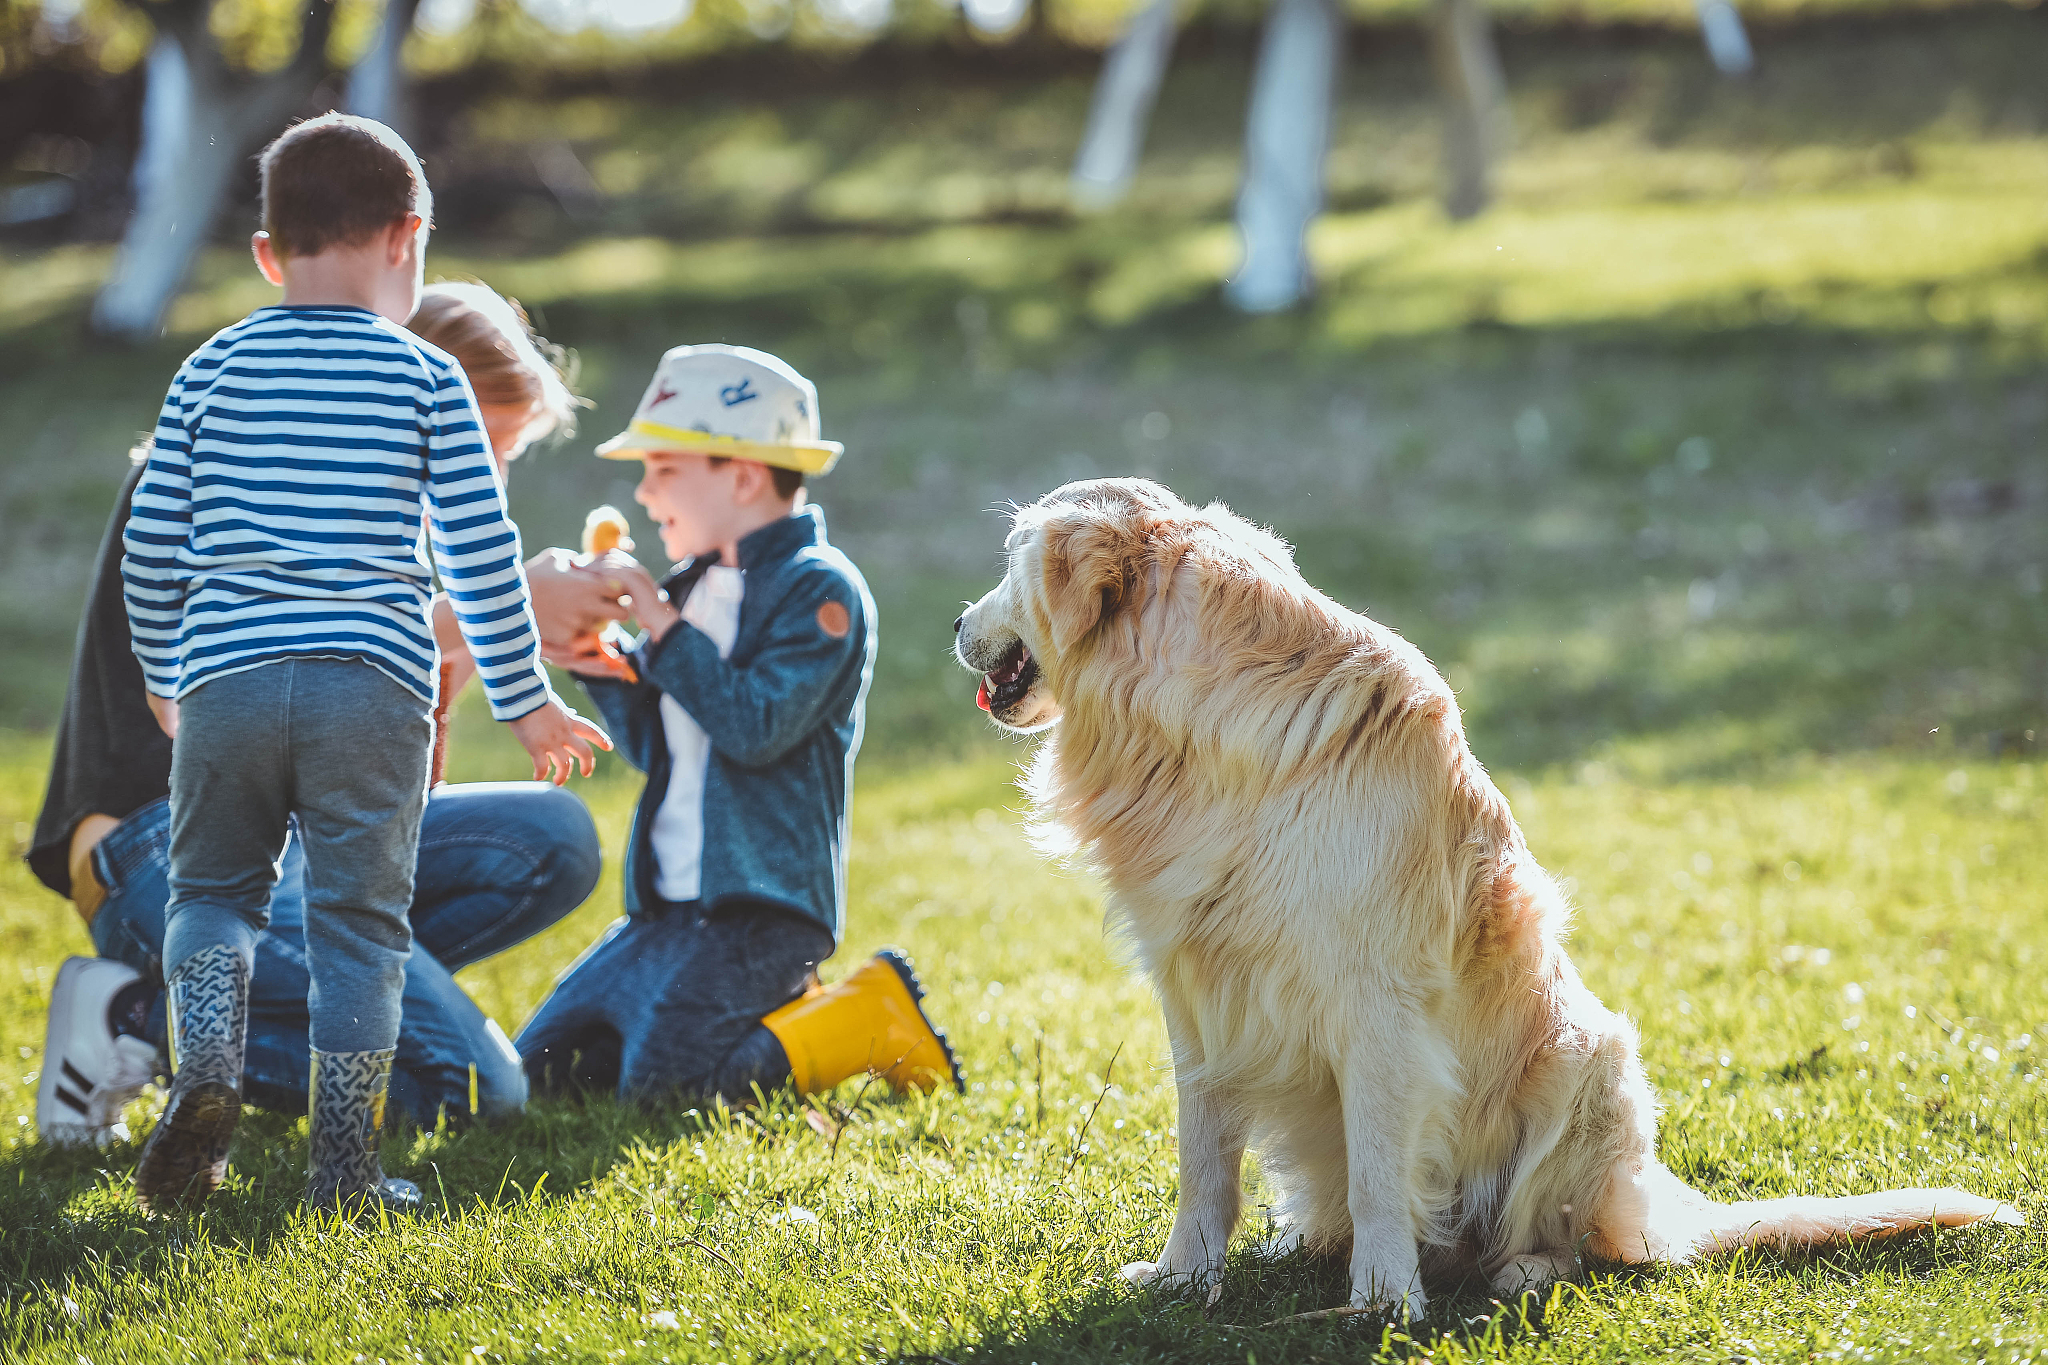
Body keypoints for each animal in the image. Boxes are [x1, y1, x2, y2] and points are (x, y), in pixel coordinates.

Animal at [950, 478, 2023, 1309]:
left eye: (1006, 561)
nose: (955, 621)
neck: (1191, 742)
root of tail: (1655, 1198)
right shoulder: (1197, 998)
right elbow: (1203, 1162)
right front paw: (1184, 1276)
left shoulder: (1378, 1004)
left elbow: (1381, 1170)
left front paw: (1384, 1298)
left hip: (1590, 1059)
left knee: (1569, 1241)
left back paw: (1515, 1270)